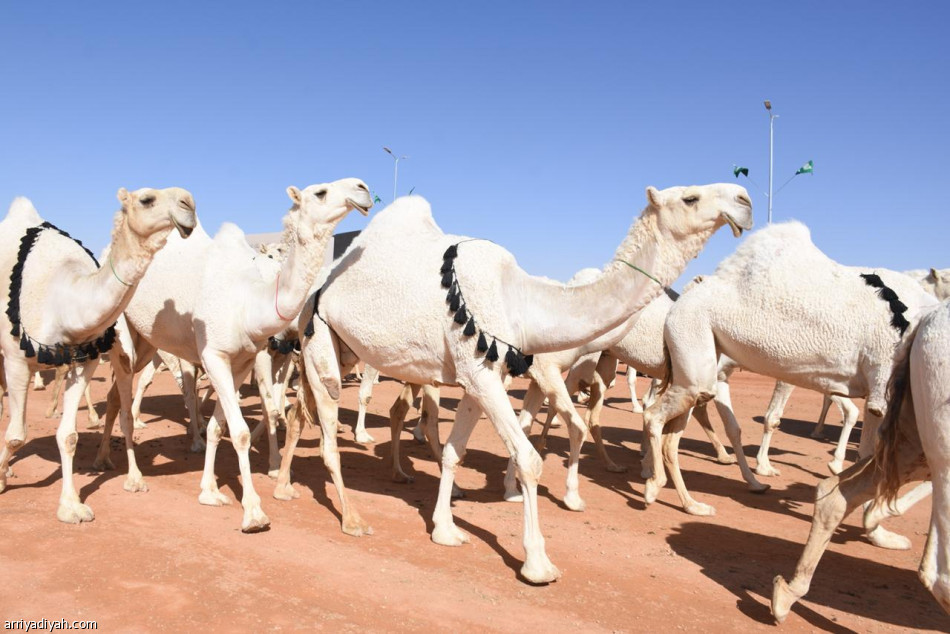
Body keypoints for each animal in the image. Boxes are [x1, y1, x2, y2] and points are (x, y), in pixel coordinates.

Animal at [0, 188, 196, 524]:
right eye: (146, 199)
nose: (189, 204)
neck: (64, 298)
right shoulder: (15, 358)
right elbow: (15, 435)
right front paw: (0, 479)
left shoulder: (85, 359)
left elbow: (69, 436)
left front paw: (70, 506)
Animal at [91, 177, 370, 528]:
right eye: (320, 192)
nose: (362, 187)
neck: (248, 303)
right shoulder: (215, 355)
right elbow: (239, 433)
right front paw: (253, 511)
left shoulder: (241, 362)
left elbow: (219, 426)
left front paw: (209, 491)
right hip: (120, 330)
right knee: (124, 397)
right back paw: (132, 477)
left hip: (146, 341)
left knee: (116, 395)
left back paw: (103, 459)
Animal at [278, 184, 760, 584]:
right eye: (691, 197)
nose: (745, 199)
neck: (521, 300)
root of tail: (316, 283)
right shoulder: (484, 371)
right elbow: (529, 458)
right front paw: (538, 562)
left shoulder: (480, 376)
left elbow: (454, 453)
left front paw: (445, 529)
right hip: (318, 339)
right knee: (328, 434)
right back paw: (352, 518)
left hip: (341, 351)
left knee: (302, 413)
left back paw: (286, 485)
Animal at [644, 220, 940, 540]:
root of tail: (680, 301)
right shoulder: (885, 383)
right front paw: (877, 522)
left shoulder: (880, 399)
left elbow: (869, 452)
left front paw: (877, 531)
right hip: (693, 348)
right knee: (653, 415)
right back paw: (653, 486)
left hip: (700, 369)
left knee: (675, 432)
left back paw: (695, 504)